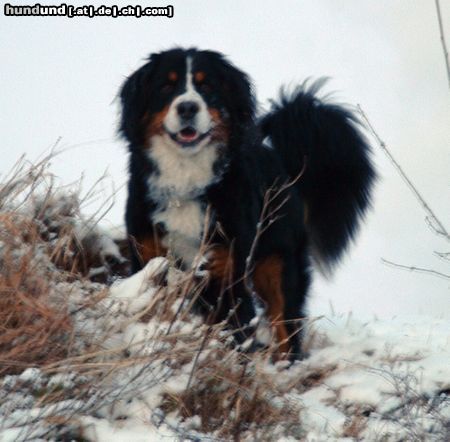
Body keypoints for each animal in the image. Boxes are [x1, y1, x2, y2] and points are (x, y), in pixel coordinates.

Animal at [117, 48, 376, 360]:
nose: (188, 107)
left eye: (207, 86)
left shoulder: (227, 267)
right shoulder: (149, 256)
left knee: (286, 326)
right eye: (166, 86)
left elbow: (237, 329)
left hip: (278, 265)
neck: (186, 179)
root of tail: (283, 162)